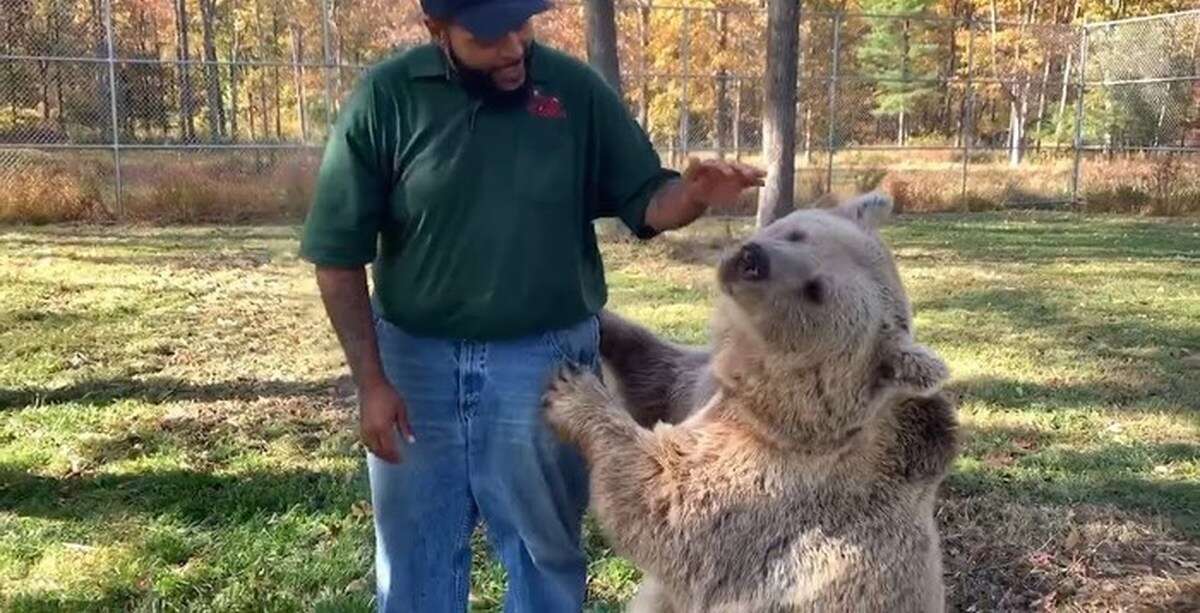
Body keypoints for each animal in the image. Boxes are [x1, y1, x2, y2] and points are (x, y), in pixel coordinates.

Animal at [544, 191, 955, 613]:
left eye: (816, 290)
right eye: (796, 232)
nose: (752, 259)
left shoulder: (773, 485)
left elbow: (665, 499)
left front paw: (573, 393)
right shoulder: (703, 390)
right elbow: (658, 375)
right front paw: (605, 320)